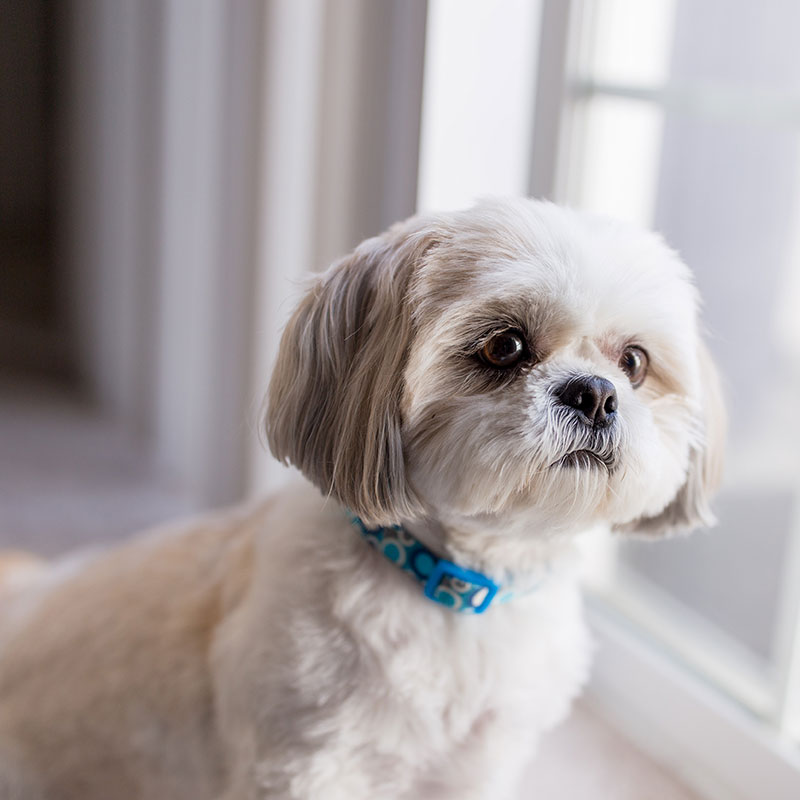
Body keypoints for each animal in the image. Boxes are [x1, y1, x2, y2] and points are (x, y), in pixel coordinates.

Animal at [0, 195, 724, 800]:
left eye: (634, 362)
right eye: (505, 345)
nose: (594, 393)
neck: (456, 587)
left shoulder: (477, 769)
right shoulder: (303, 768)